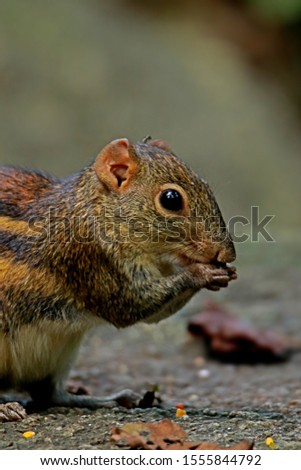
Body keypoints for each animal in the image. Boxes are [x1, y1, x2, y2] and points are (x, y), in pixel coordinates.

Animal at [0, 138, 236, 420]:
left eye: (207, 186)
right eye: (171, 199)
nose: (227, 253)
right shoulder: (91, 261)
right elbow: (130, 306)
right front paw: (201, 273)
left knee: (51, 394)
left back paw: (110, 399)